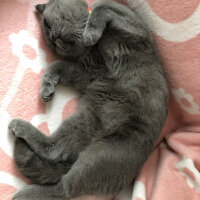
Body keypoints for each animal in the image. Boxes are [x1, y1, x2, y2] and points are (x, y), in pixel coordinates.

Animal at [9, 0, 169, 199]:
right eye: (48, 36)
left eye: (46, 23)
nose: (53, 37)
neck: (93, 52)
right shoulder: (85, 73)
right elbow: (57, 65)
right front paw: (46, 88)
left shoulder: (136, 30)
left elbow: (103, 7)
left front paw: (90, 34)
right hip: (87, 133)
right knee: (58, 165)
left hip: (102, 153)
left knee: (64, 182)